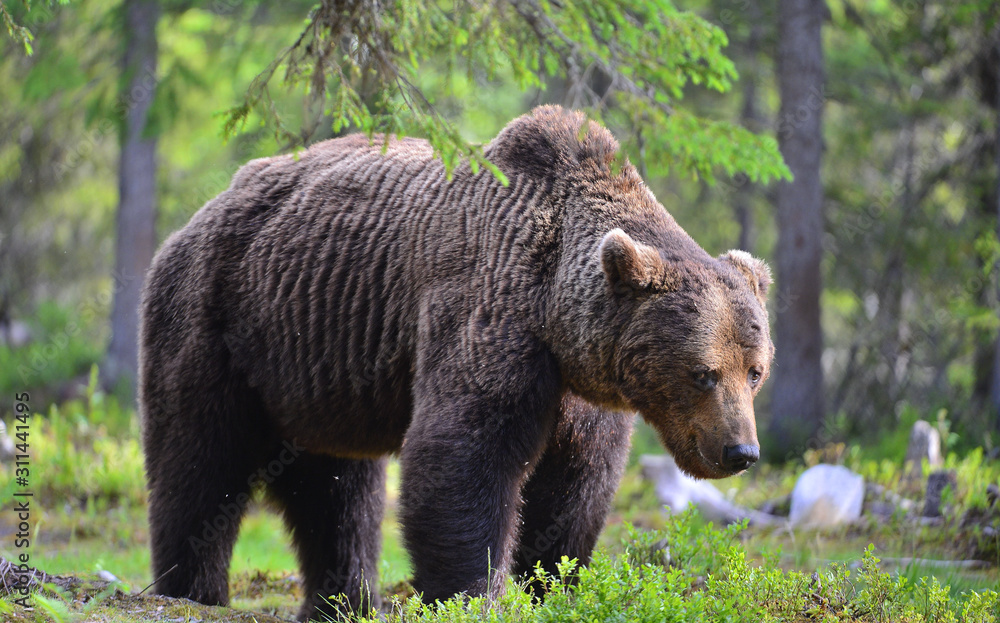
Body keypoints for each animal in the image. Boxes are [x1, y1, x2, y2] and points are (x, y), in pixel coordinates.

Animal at [137, 105, 768, 620]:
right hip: (216, 319)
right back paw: (192, 590)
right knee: (199, 461)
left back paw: (343, 602)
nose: (740, 451)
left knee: (337, 491)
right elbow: (464, 456)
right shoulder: (488, 311)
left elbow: (575, 486)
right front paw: (472, 593)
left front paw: (554, 585)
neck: (556, 312)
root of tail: (197, 217)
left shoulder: (582, 389)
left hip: (318, 368)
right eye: (703, 372)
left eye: (755, 371)